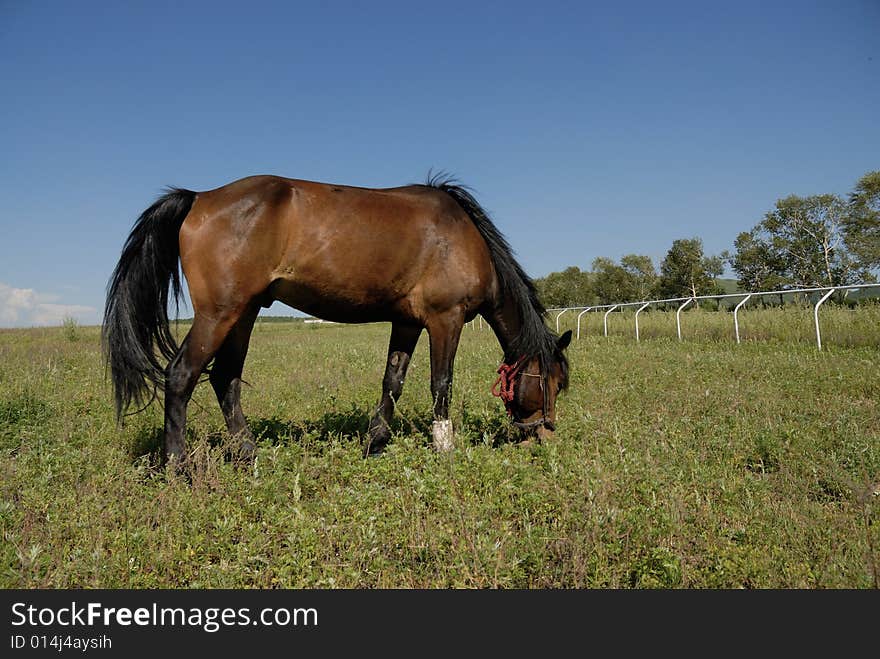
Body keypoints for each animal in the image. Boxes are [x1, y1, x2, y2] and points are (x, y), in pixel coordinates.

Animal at [101, 174, 572, 464]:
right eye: (553, 382)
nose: (547, 435)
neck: (462, 236)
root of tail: (200, 196)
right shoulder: (446, 319)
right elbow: (442, 384)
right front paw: (445, 448)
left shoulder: (407, 322)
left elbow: (392, 381)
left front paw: (374, 443)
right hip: (218, 314)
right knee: (181, 375)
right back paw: (177, 465)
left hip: (244, 313)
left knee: (224, 379)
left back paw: (250, 455)